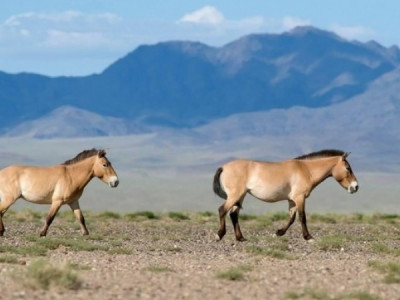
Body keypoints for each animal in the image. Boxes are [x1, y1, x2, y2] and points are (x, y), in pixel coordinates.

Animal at [212, 149, 360, 241]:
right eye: (348, 168)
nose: (355, 186)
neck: (306, 170)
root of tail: (224, 167)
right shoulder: (300, 198)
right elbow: (302, 217)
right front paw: (308, 237)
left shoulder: (292, 200)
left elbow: (292, 218)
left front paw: (278, 233)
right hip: (235, 195)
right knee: (222, 210)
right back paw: (219, 235)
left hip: (240, 196)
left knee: (233, 214)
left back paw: (241, 238)